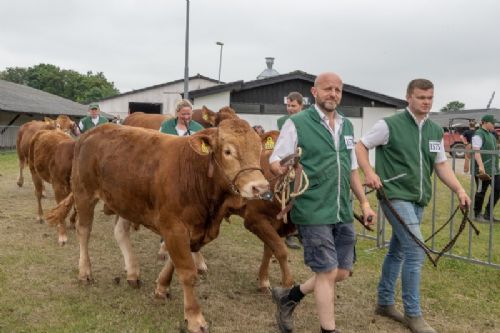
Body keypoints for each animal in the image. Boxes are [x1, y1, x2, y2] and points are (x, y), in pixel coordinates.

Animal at [47, 120, 272, 332]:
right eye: (228, 151)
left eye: (259, 150)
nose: (260, 187)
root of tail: (92, 132)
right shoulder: (174, 227)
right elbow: (187, 272)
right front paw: (194, 318)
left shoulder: (188, 231)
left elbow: (174, 262)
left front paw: (162, 287)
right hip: (84, 193)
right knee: (84, 231)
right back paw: (85, 273)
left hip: (126, 200)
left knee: (120, 231)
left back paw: (133, 273)